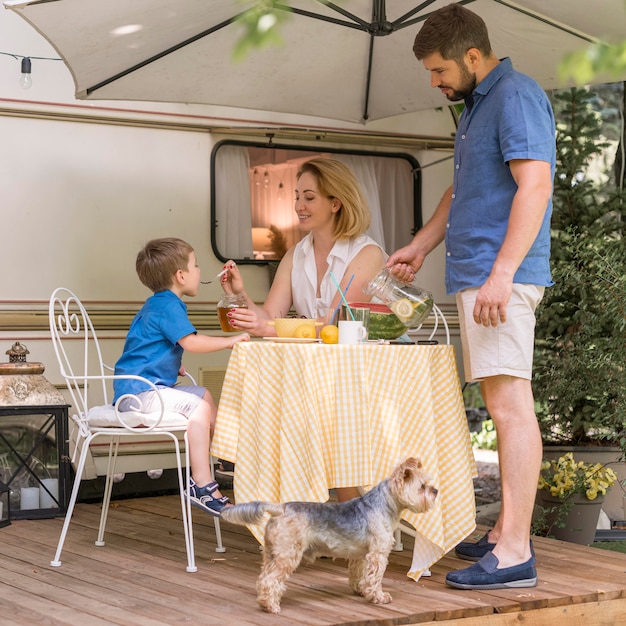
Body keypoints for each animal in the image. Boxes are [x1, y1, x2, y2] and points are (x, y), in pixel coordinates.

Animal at [222, 456, 436, 612]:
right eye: (422, 487)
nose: (435, 491)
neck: (384, 504)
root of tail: (280, 508)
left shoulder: (360, 555)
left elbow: (358, 574)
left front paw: (360, 590)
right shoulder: (378, 554)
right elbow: (374, 578)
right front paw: (378, 597)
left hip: (271, 553)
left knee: (262, 577)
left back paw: (263, 601)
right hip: (288, 555)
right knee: (270, 580)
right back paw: (271, 606)